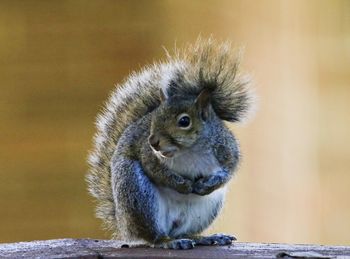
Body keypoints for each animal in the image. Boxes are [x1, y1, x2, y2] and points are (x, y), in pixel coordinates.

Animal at [85, 38, 254, 250]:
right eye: (153, 117)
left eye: (184, 121)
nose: (153, 142)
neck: (189, 151)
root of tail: (125, 226)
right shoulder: (147, 154)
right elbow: (156, 170)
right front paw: (182, 185)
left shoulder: (227, 150)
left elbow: (229, 171)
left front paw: (205, 185)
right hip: (138, 194)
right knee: (153, 236)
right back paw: (169, 241)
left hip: (206, 209)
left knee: (185, 231)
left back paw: (204, 237)